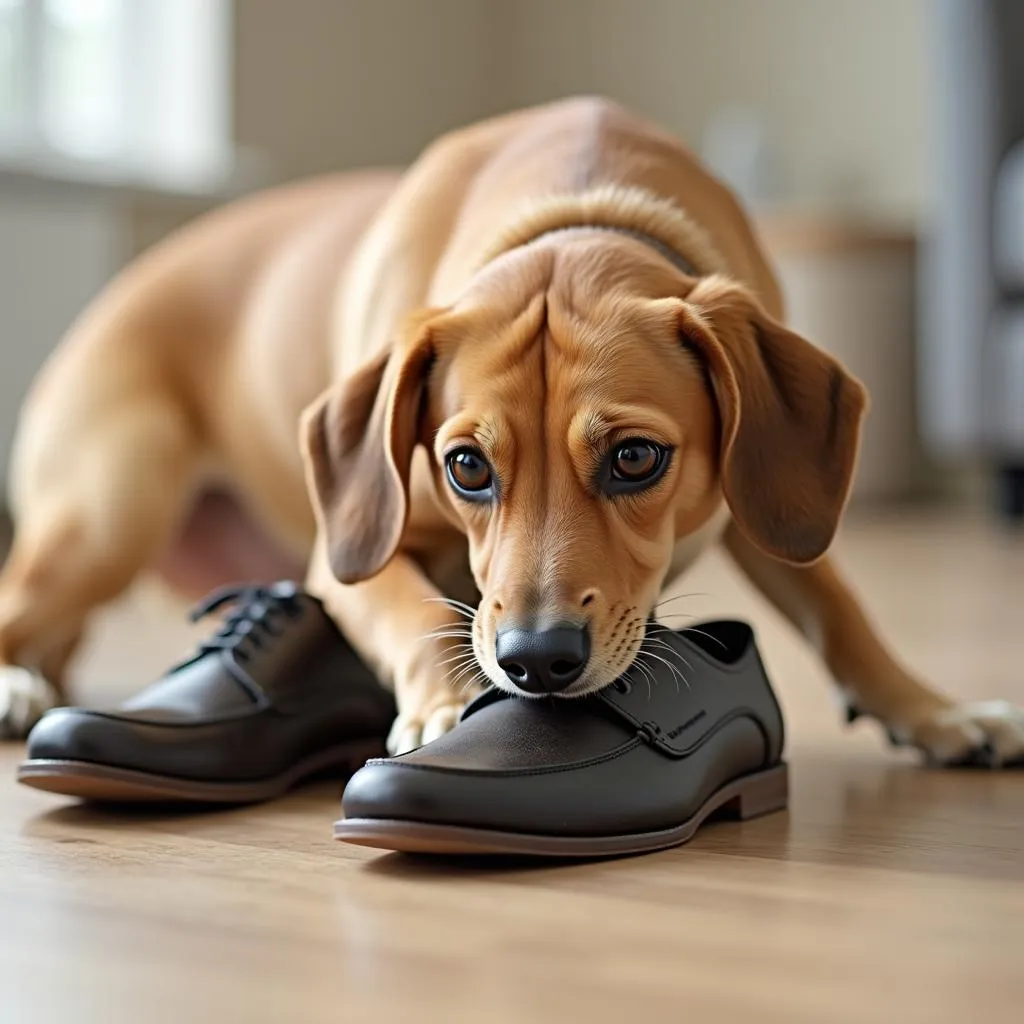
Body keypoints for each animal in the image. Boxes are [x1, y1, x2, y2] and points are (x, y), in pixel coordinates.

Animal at [2, 99, 1024, 765]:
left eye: (636, 458)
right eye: (465, 467)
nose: (535, 662)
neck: (578, 208)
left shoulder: (761, 495)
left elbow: (841, 610)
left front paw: (933, 712)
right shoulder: (345, 553)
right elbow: (412, 611)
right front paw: (443, 702)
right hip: (107, 518)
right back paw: (19, 685)